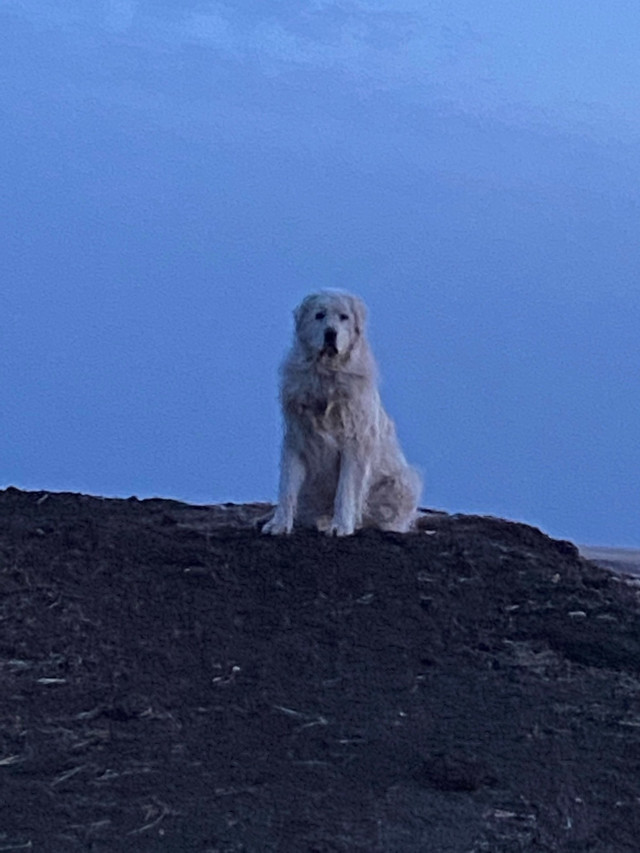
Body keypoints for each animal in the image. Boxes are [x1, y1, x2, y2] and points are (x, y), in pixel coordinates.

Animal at [262, 290, 422, 536]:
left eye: (344, 317)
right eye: (319, 315)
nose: (331, 333)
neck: (326, 375)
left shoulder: (354, 444)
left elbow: (345, 490)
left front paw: (341, 526)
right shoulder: (297, 439)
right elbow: (287, 487)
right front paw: (278, 523)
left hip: (403, 481)